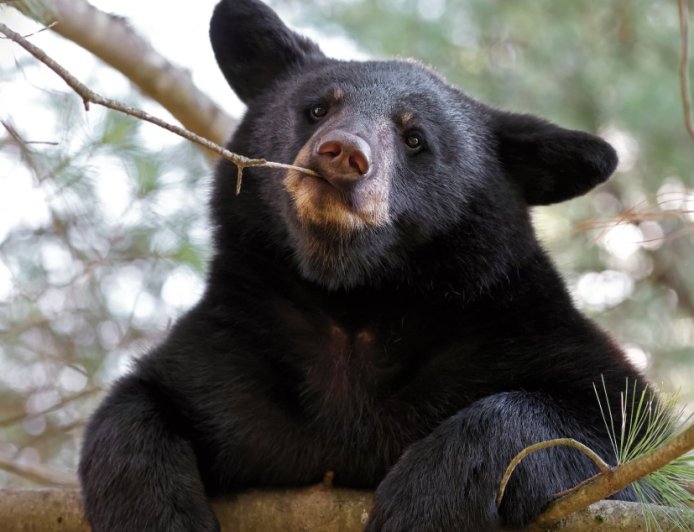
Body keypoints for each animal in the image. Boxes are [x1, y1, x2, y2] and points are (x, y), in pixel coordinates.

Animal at [78, 0, 649, 530]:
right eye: (317, 109)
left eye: (415, 138)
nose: (341, 153)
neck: (353, 301)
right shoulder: (232, 348)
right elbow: (140, 400)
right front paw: (156, 513)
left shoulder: (511, 325)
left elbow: (611, 433)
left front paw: (427, 503)